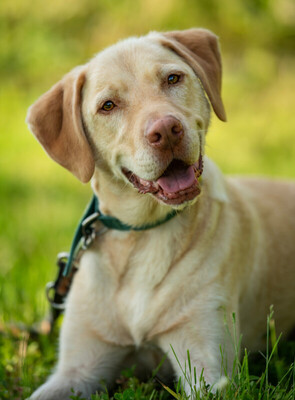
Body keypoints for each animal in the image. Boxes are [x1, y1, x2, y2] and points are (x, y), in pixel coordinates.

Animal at [26, 27, 295, 396]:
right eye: (108, 105)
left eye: (172, 78)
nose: (166, 130)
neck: (144, 235)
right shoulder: (76, 370)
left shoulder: (207, 369)